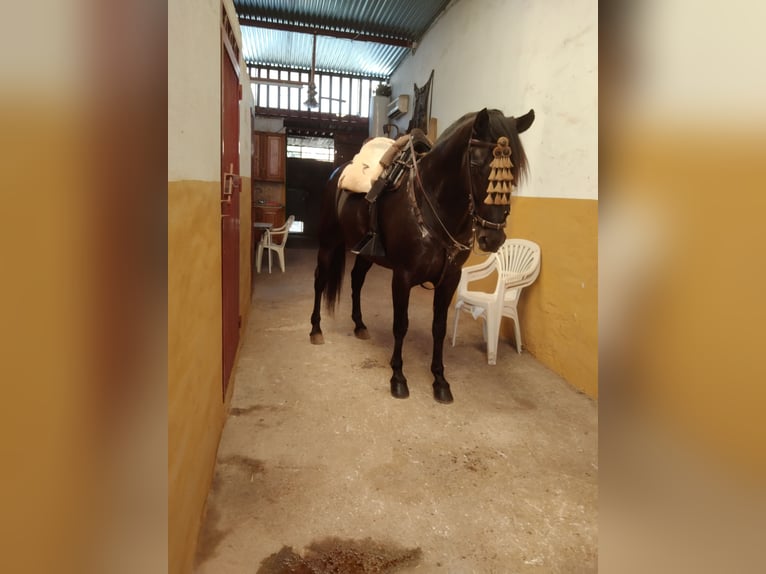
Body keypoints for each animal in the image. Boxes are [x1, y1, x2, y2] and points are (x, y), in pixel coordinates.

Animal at [308, 108, 536, 404]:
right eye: (476, 163)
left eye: (515, 169)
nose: (493, 237)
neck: (434, 205)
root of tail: (338, 172)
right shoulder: (403, 276)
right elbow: (400, 325)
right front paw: (398, 378)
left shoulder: (449, 279)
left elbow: (439, 327)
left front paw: (440, 381)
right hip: (328, 242)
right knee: (320, 280)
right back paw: (316, 330)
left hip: (366, 254)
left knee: (356, 280)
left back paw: (359, 325)